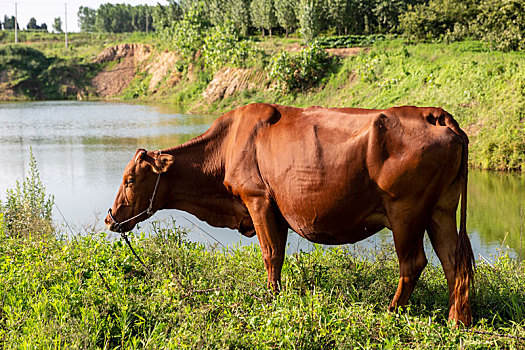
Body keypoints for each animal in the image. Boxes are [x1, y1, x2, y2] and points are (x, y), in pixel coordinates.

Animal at [104, 103, 472, 326]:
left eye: (130, 179)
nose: (110, 219)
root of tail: (434, 113)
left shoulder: (258, 200)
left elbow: (270, 254)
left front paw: (272, 298)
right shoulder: (277, 210)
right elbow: (279, 253)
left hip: (406, 211)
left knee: (414, 262)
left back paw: (392, 311)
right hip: (441, 209)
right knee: (454, 262)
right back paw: (458, 321)